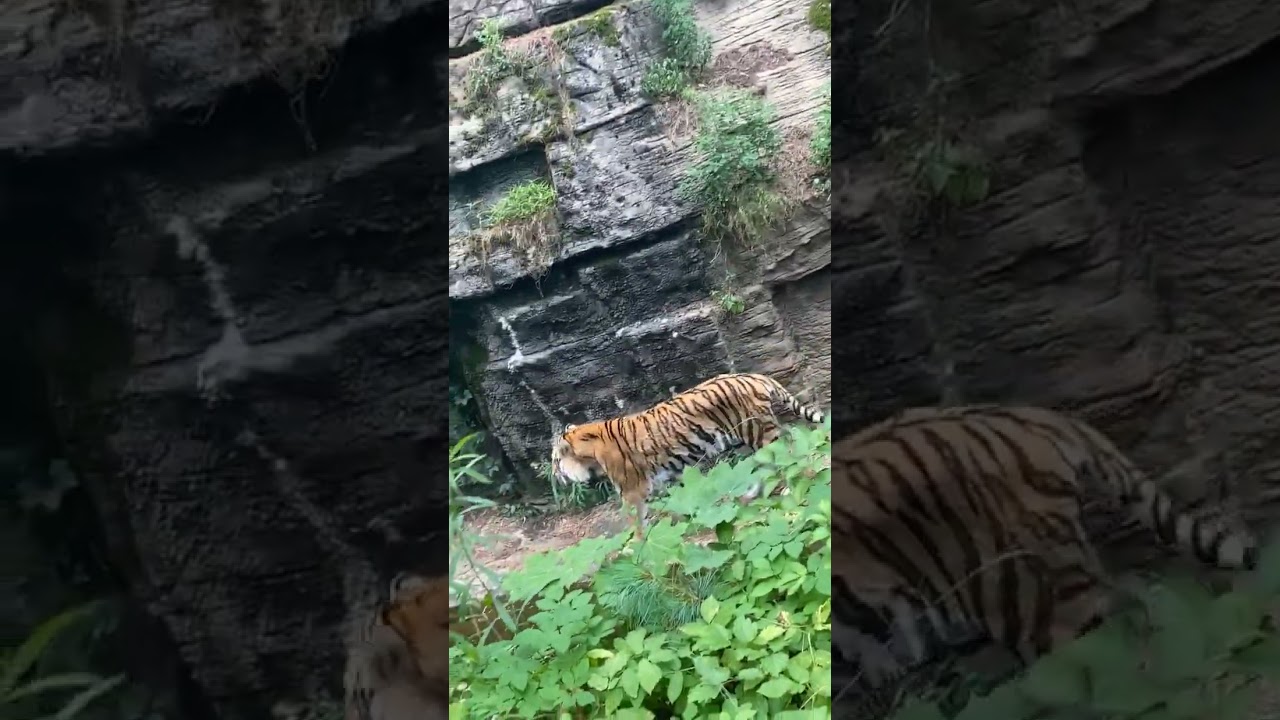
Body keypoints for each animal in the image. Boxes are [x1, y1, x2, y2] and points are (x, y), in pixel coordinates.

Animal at [551, 372, 825, 539]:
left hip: (758, 432)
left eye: (555, 460)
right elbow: (681, 498)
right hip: (751, 436)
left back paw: (788, 488)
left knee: (787, 449)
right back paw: (750, 494)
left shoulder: (631, 490)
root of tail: (753, 375)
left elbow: (636, 521)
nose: (554, 476)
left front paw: (635, 546)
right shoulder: (672, 472)